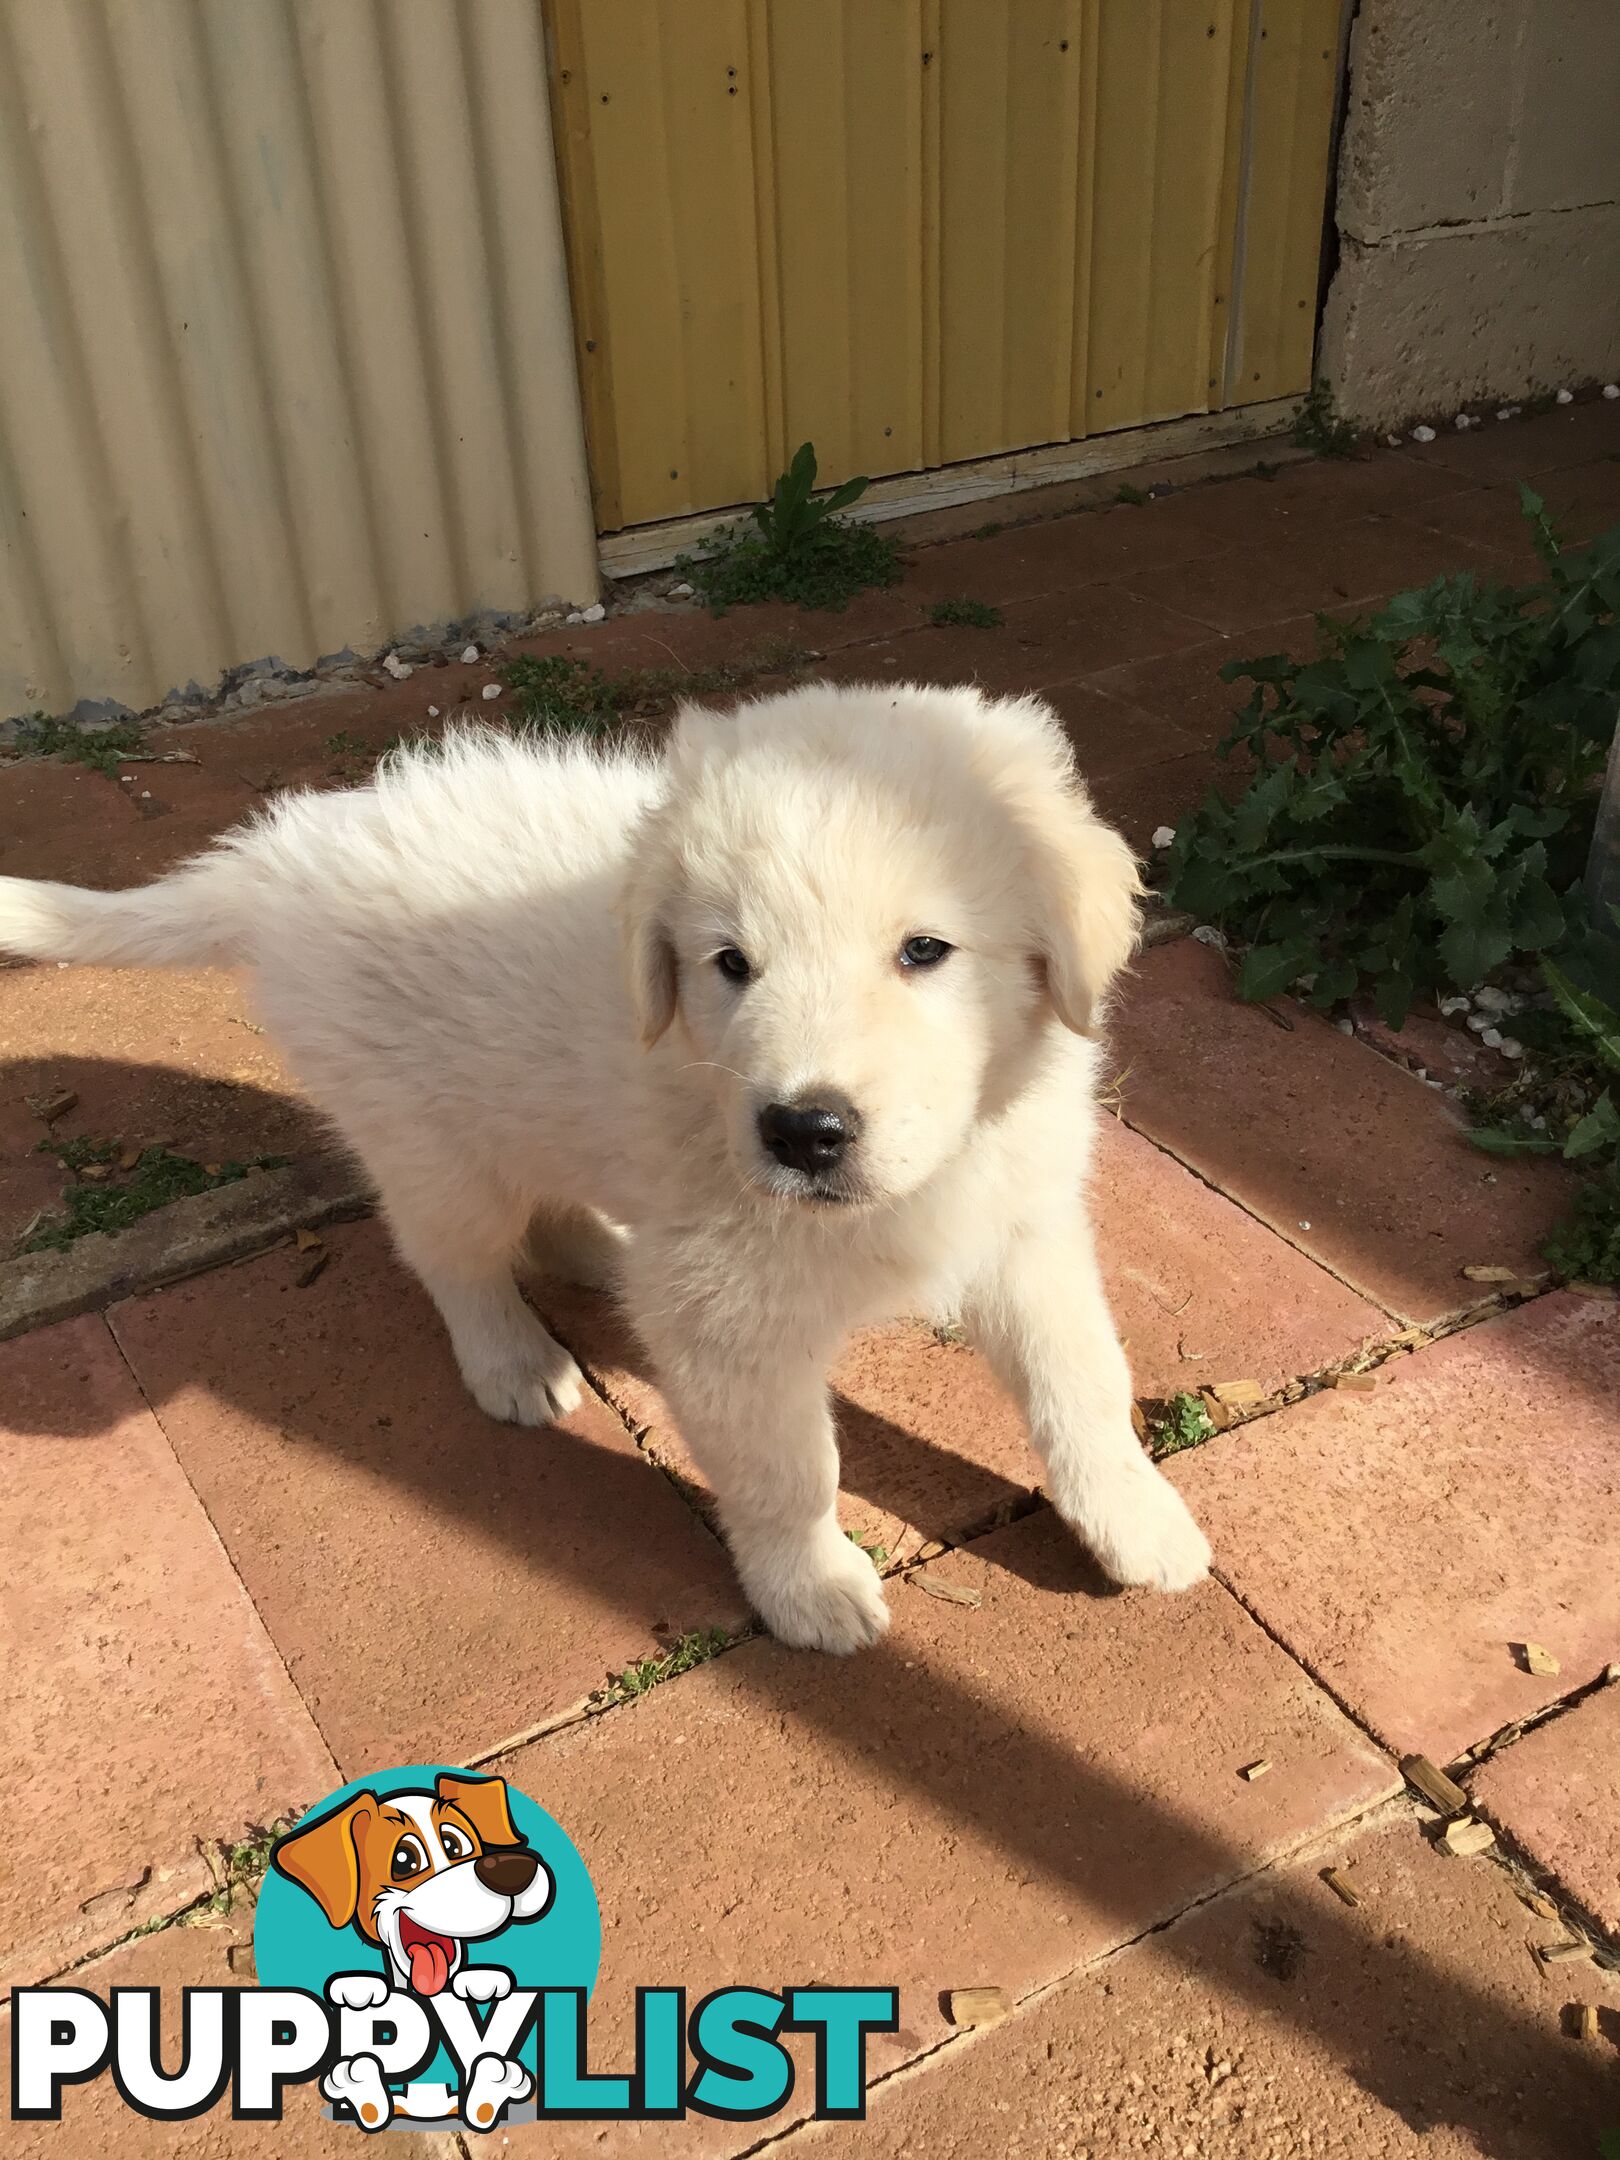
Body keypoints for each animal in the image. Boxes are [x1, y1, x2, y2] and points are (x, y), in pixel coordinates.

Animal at [3, 682, 1218, 1641]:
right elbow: (790, 1470)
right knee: (453, 1257)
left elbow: (1082, 1383)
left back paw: (597, 1253)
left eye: (927, 950)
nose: (802, 1132)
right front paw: (811, 1590)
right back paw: (512, 1361)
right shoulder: (728, 1320)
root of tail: (276, 858)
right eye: (729, 963)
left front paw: (1137, 1523)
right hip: (430, 1139)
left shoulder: (1024, 1228)